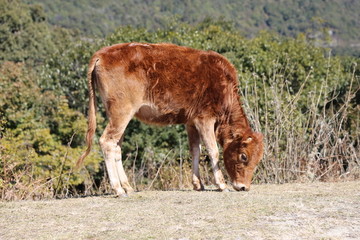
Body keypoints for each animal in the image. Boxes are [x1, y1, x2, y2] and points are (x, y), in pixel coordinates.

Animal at [78, 42, 264, 196]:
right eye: (243, 156)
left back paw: (127, 187)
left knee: (116, 146)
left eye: (257, 159)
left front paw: (198, 184)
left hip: (117, 115)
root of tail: (102, 54)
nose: (244, 187)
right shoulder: (205, 119)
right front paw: (221, 184)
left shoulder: (191, 122)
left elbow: (195, 150)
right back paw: (118, 189)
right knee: (107, 142)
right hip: (121, 112)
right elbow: (213, 150)